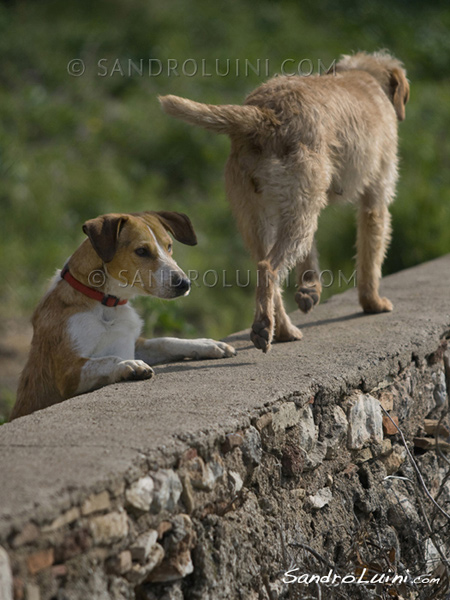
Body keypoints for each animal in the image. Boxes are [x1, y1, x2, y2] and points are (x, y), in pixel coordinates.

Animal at [160, 51, 410, 354]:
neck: (364, 76)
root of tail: (264, 114)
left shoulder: (299, 205)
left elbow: (310, 255)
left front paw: (309, 289)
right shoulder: (375, 200)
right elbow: (370, 255)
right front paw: (372, 302)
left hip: (262, 216)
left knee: (263, 264)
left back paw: (280, 330)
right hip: (298, 212)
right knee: (269, 267)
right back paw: (266, 327)